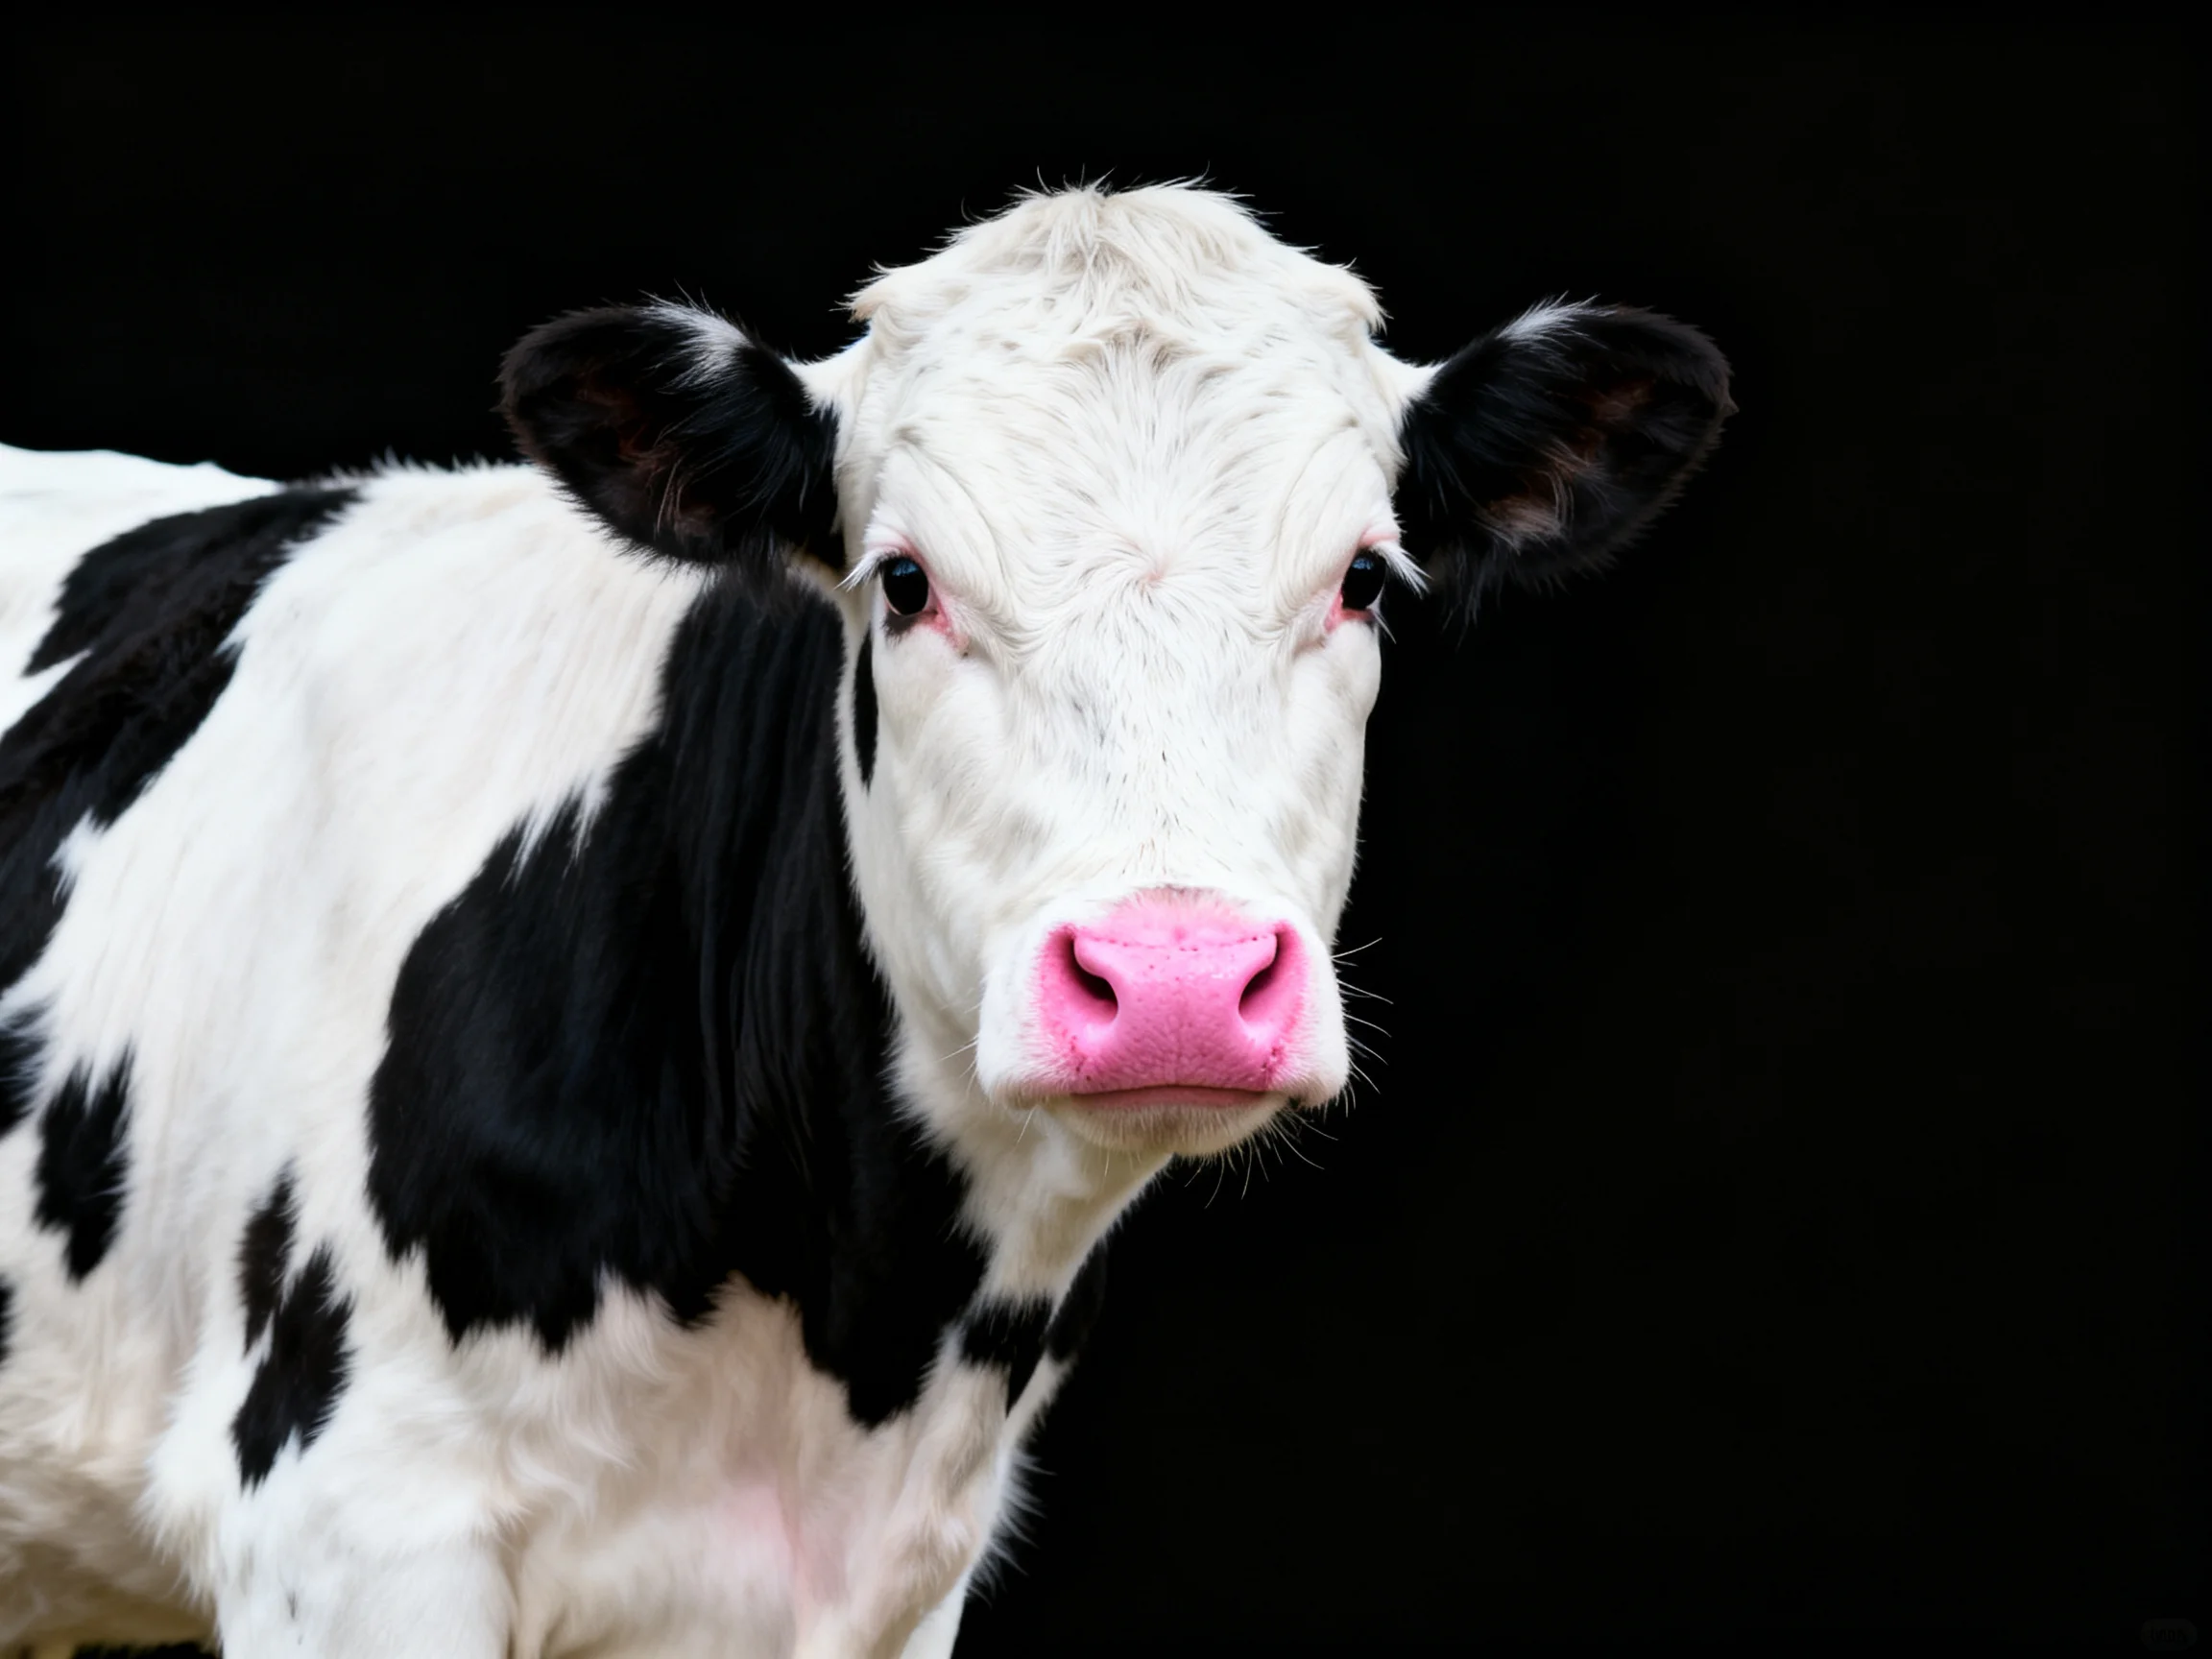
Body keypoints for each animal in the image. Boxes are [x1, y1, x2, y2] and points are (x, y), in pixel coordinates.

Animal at [0, 184, 1730, 1657]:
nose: (1172, 977)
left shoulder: (901, 1576)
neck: (838, 1321)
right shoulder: (344, 1522)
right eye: (902, 582)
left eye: (1365, 579)